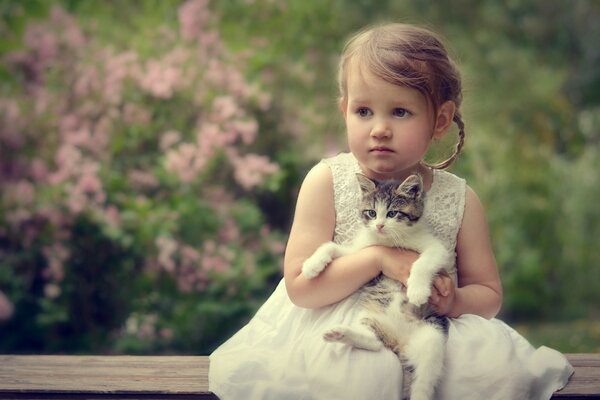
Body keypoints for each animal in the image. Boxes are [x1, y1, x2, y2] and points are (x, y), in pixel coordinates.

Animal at [302, 173, 452, 400]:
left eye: (392, 213)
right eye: (372, 213)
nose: (379, 226)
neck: (389, 240)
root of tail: (399, 341)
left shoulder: (437, 248)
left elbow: (423, 262)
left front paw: (417, 291)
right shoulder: (360, 251)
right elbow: (332, 247)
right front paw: (312, 265)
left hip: (432, 336)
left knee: (425, 380)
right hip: (369, 316)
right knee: (374, 342)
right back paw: (341, 334)